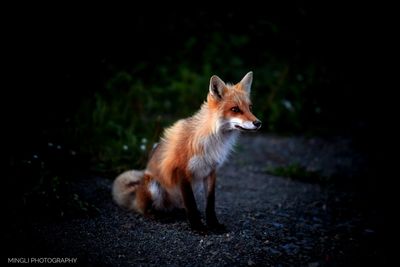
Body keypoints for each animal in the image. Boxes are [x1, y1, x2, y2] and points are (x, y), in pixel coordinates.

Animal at [111, 71, 262, 232]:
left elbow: (210, 203)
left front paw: (213, 224)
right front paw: (198, 226)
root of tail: (137, 193)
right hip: (154, 186)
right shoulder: (182, 170)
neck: (211, 140)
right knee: (146, 209)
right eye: (235, 109)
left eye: (250, 108)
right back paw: (159, 215)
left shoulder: (211, 171)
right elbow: (191, 202)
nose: (258, 123)